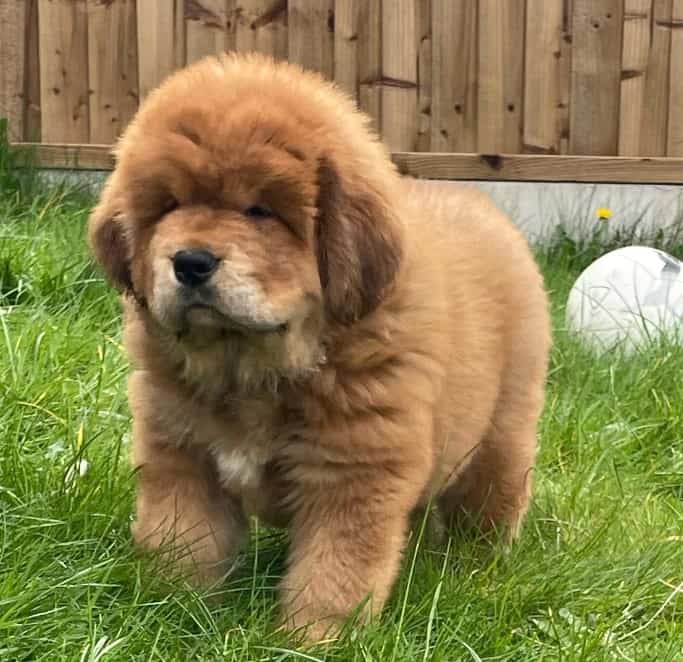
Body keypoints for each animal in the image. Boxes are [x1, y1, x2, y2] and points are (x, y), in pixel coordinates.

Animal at [88, 54, 552, 644]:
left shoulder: (353, 475)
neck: (252, 370)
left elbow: (332, 575)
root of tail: (483, 204)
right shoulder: (183, 454)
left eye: (260, 211)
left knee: (491, 505)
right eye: (169, 206)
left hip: (500, 436)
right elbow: (183, 541)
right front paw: (166, 611)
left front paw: (308, 642)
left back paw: (477, 573)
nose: (190, 262)